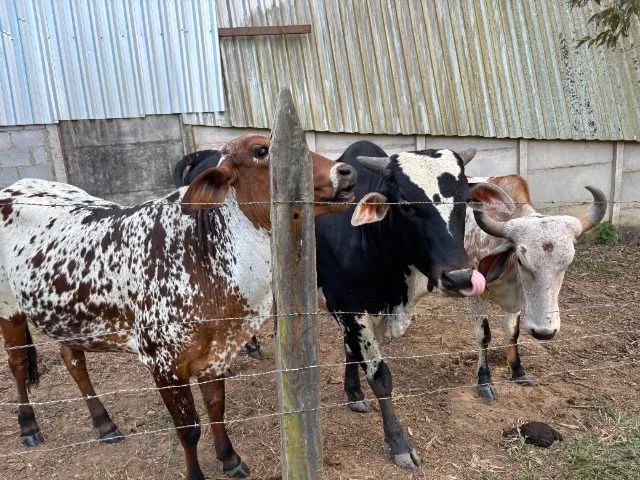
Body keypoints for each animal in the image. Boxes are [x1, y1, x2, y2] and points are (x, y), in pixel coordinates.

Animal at [315, 141, 514, 469]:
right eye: (407, 205)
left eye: (464, 201)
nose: (459, 277)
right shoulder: (351, 310)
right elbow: (380, 377)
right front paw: (399, 444)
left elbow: (353, 352)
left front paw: (354, 393)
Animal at [463, 174, 606, 401]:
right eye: (521, 260)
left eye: (568, 262)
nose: (544, 332)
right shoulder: (476, 296)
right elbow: (483, 335)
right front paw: (484, 380)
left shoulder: (516, 301)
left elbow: (512, 332)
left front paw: (518, 371)